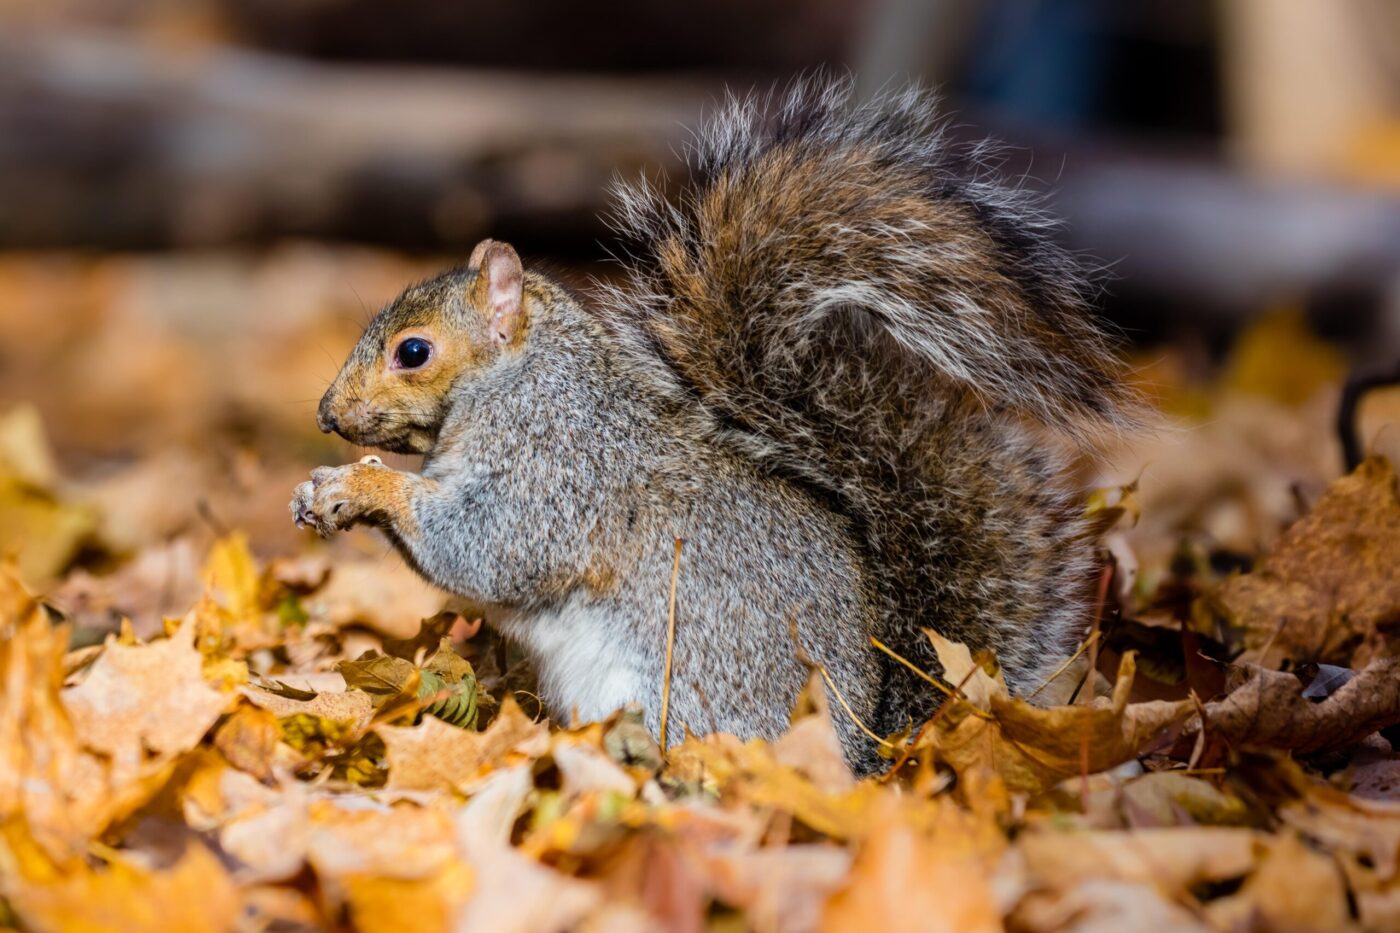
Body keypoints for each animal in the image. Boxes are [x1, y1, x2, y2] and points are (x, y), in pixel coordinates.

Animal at [291, 81, 1139, 773]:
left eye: (413, 351)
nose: (328, 414)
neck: (524, 382)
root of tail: (874, 750)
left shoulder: (560, 470)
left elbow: (489, 547)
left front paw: (361, 486)